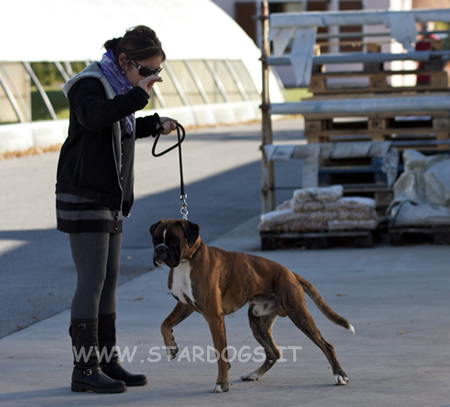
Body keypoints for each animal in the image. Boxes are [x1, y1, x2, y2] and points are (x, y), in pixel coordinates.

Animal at [149, 220, 354, 396]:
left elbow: (220, 353)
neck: (186, 262)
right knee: (273, 352)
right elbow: (164, 324)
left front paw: (222, 384)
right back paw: (254, 374)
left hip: (298, 314)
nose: (160, 249)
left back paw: (339, 375)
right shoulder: (185, 305)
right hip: (258, 322)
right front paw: (171, 347)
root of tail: (290, 272)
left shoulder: (214, 316)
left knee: (326, 345)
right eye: (155, 240)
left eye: (173, 240)